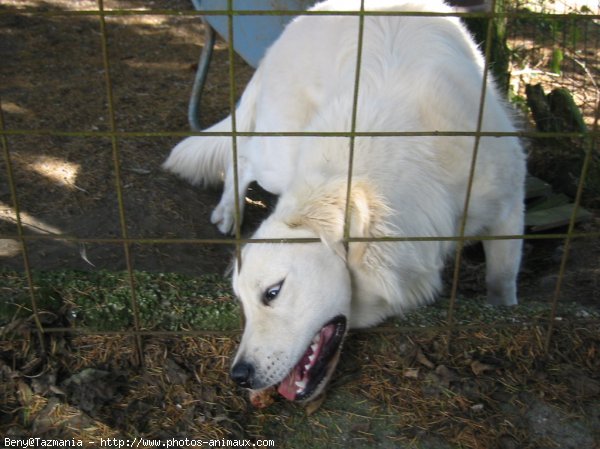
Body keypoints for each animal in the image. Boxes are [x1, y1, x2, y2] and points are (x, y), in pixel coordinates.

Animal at [164, 0, 524, 400]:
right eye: (241, 302)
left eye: (272, 293)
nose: (238, 376)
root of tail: (298, 22)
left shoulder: (508, 208)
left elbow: (502, 281)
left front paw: (504, 312)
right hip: (279, 154)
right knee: (243, 154)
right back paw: (229, 208)